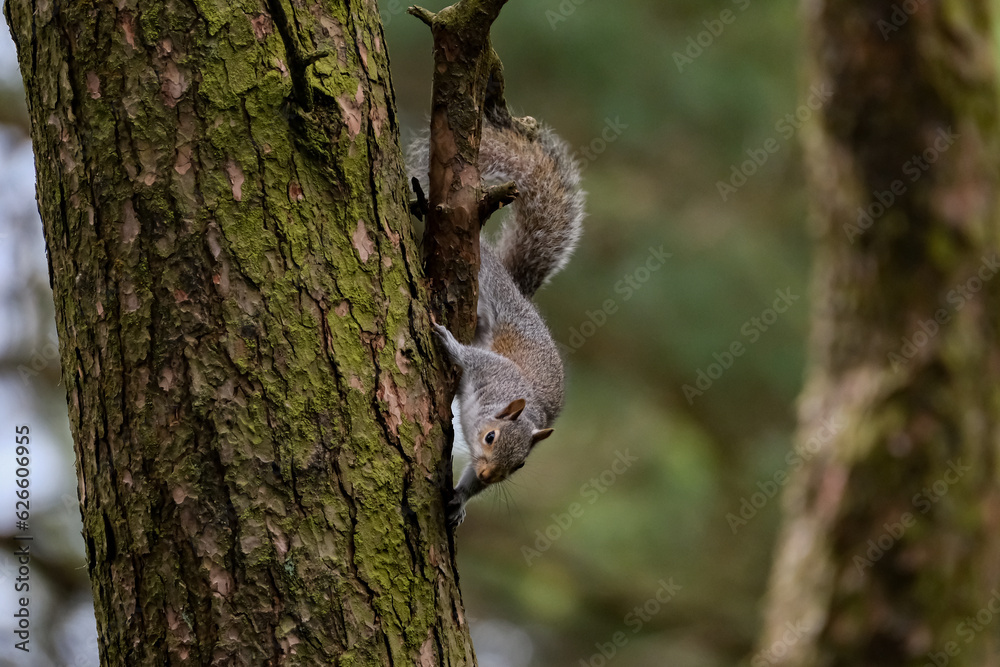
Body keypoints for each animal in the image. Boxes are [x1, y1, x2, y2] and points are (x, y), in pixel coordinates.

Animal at [408, 112, 585, 526]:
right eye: (491, 438)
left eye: (520, 464)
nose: (491, 475)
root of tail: (518, 291)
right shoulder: (492, 369)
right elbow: (469, 356)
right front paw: (448, 341)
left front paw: (460, 499)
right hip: (490, 283)